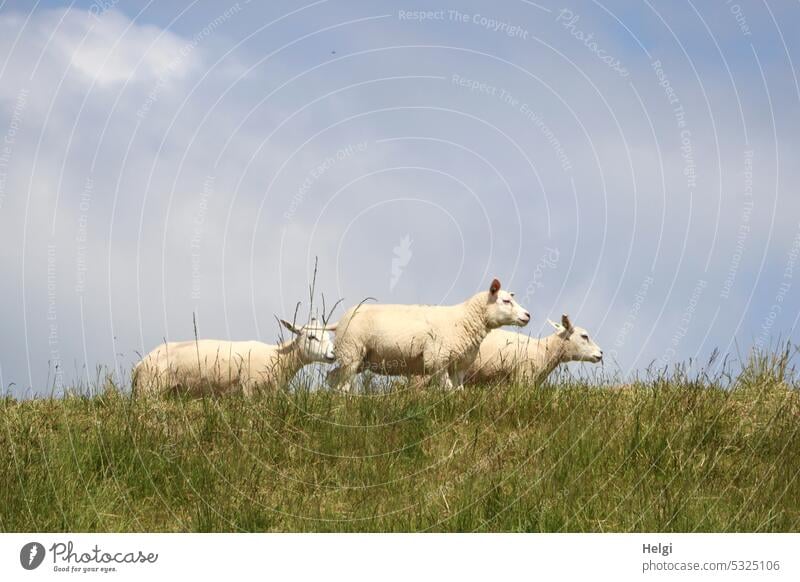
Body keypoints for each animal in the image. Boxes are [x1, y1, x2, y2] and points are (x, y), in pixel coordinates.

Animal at [133, 318, 332, 400]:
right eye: (311, 337)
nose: (333, 355)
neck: (279, 356)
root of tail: (140, 364)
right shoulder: (250, 390)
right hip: (148, 390)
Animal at [324, 278, 532, 392]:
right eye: (506, 301)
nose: (527, 315)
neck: (464, 320)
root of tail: (339, 322)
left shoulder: (460, 366)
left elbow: (459, 391)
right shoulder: (437, 360)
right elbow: (447, 389)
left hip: (359, 358)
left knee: (333, 377)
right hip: (351, 351)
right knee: (343, 384)